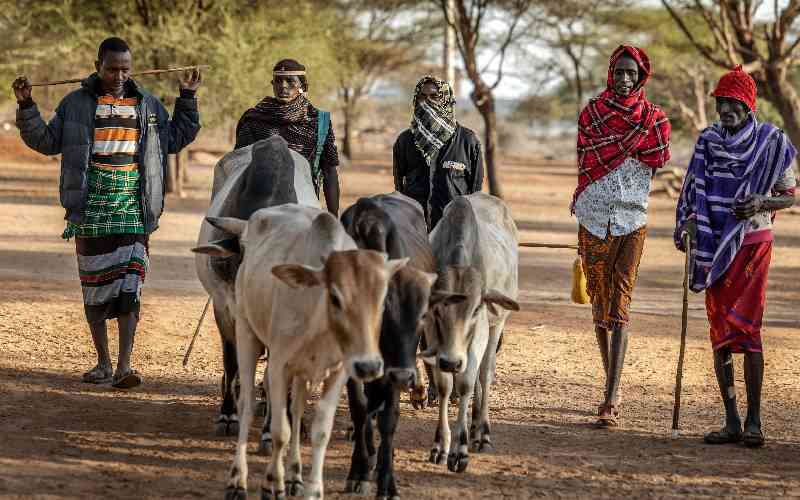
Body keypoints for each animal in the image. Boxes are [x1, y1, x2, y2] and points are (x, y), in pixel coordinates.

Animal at [193, 203, 408, 500]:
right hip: (246, 333)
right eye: (335, 296)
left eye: (381, 297)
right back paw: (237, 480)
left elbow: (319, 430)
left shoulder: (337, 372)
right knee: (247, 404)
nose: (370, 366)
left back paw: (294, 475)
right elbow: (279, 430)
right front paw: (272, 483)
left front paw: (311, 489)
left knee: (296, 410)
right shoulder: (278, 364)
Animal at [340, 193, 466, 499]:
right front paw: (359, 471)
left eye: (422, 315)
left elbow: (388, 417)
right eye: (380, 313)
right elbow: (360, 408)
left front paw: (386, 481)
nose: (404, 377)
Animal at [422, 192, 520, 474]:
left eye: (476, 309)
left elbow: (465, 384)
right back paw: (475, 425)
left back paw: (482, 432)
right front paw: (440, 446)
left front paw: (460, 450)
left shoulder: (480, 332)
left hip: (496, 326)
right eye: (437, 309)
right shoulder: (434, 336)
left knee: (484, 375)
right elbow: (445, 386)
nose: (452, 362)